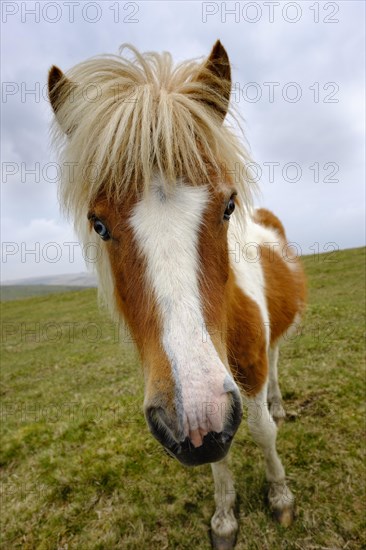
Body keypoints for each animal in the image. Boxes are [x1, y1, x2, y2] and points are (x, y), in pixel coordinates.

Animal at [48, 41, 306, 548]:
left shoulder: (247, 373)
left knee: (276, 365)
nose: (195, 414)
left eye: (228, 205)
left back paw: (278, 402)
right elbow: (219, 455)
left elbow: (262, 431)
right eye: (98, 223)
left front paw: (281, 494)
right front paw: (225, 517)